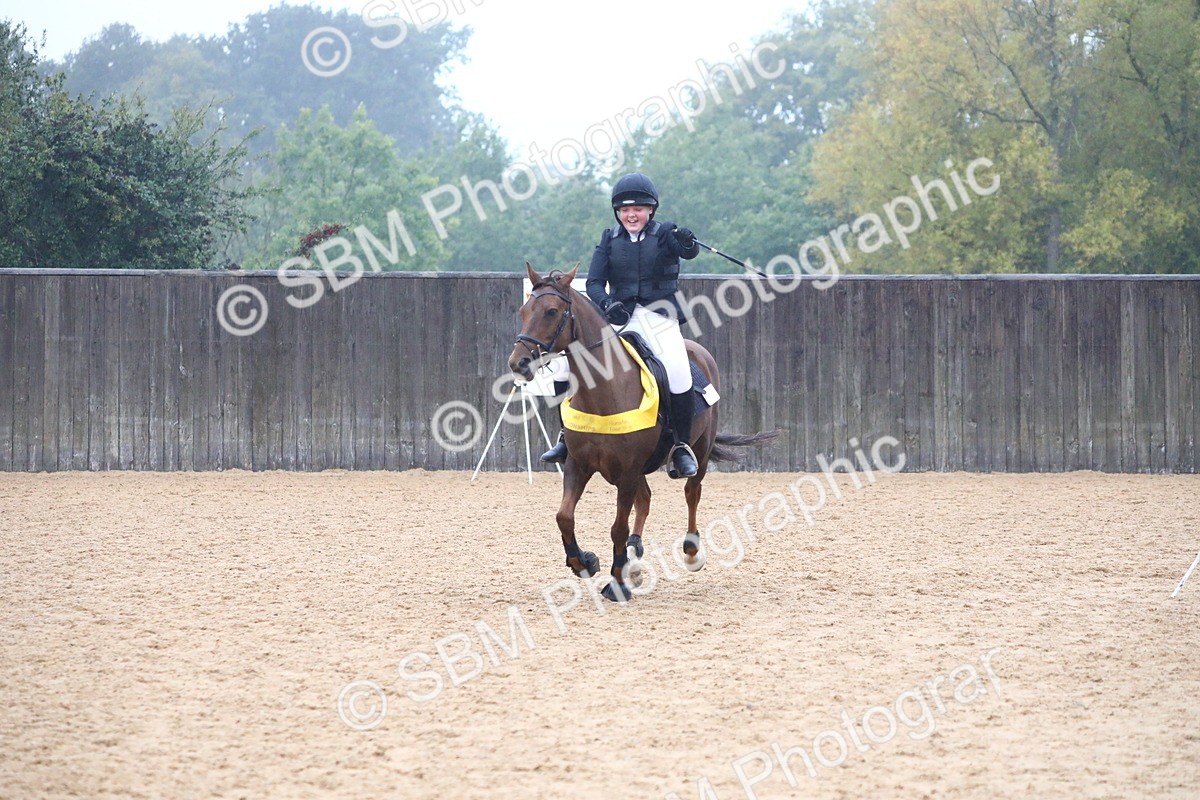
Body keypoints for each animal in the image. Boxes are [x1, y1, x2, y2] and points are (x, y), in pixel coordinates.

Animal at [508, 262, 778, 602]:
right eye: (523, 310)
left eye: (552, 311)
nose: (518, 363)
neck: (605, 390)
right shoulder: (579, 464)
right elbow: (564, 516)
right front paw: (585, 562)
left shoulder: (627, 471)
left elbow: (617, 528)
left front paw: (616, 583)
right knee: (646, 499)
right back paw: (634, 559)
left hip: (698, 453)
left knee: (692, 492)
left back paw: (690, 551)